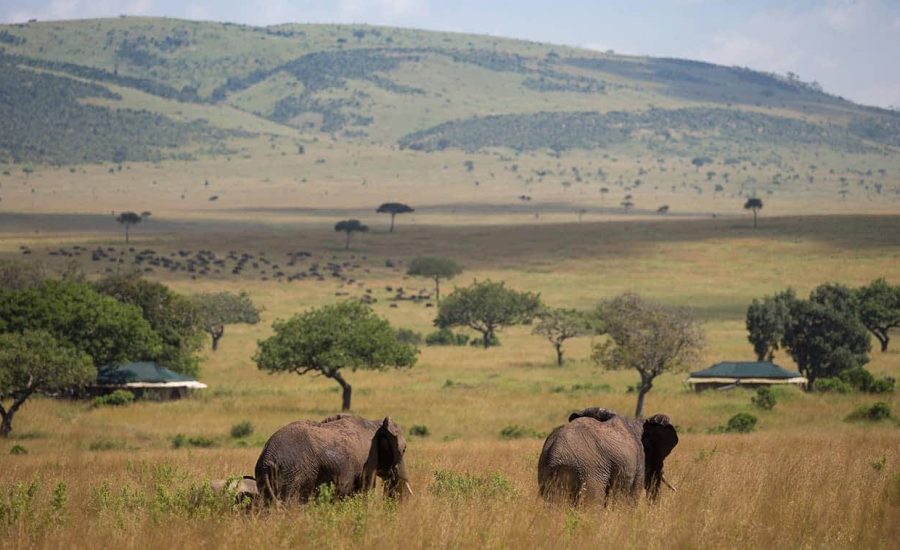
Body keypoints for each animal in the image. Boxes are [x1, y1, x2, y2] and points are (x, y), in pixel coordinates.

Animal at [255, 416, 414, 506]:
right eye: (404, 450)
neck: (375, 424)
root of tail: (267, 458)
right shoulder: (369, 459)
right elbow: (365, 490)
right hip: (293, 474)